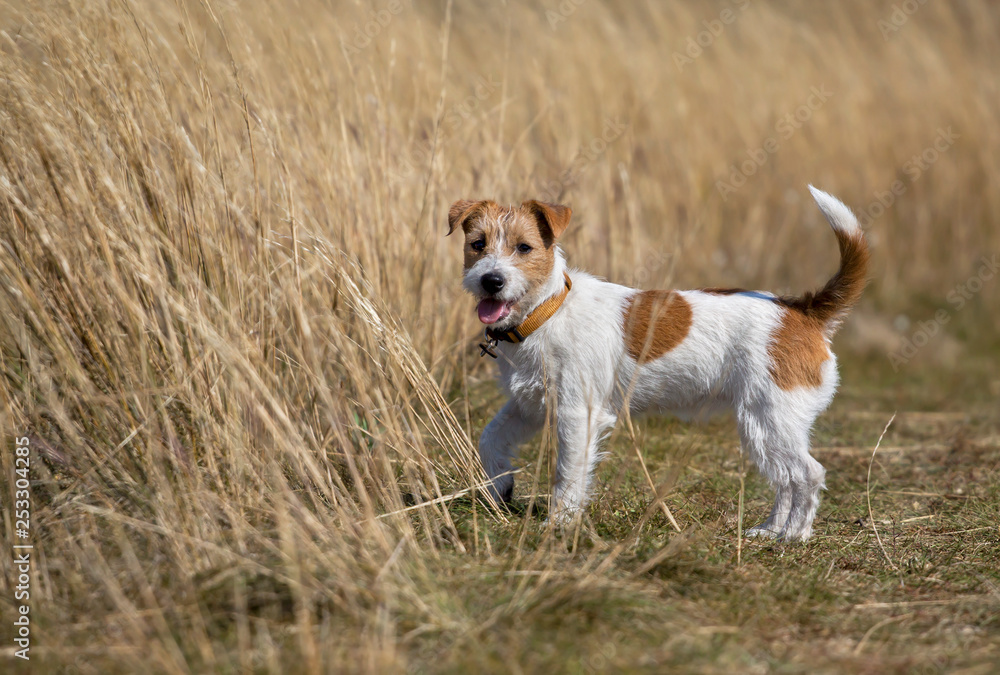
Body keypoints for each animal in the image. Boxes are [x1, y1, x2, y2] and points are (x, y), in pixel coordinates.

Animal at [450, 187, 872, 540]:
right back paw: (770, 530)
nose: (491, 281)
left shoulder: (576, 414)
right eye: (477, 244)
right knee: (786, 479)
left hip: (772, 419)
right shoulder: (529, 405)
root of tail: (803, 311)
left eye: (524, 247)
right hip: (763, 426)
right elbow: (490, 437)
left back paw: (794, 535)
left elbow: (567, 475)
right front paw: (500, 485)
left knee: (807, 474)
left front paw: (560, 524)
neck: (546, 311)